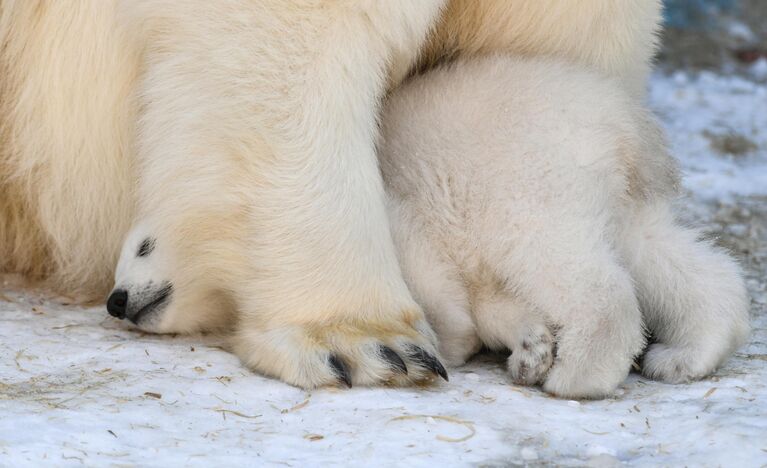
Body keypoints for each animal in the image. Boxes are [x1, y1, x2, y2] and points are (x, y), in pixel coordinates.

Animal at [111, 55, 752, 398]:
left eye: (142, 247)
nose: (117, 300)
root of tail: (625, 125)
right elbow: (491, 299)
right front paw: (529, 347)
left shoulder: (396, 211)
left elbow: (427, 272)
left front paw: (446, 343)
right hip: (613, 191)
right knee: (662, 252)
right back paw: (686, 354)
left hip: (526, 171)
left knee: (568, 264)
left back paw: (580, 373)